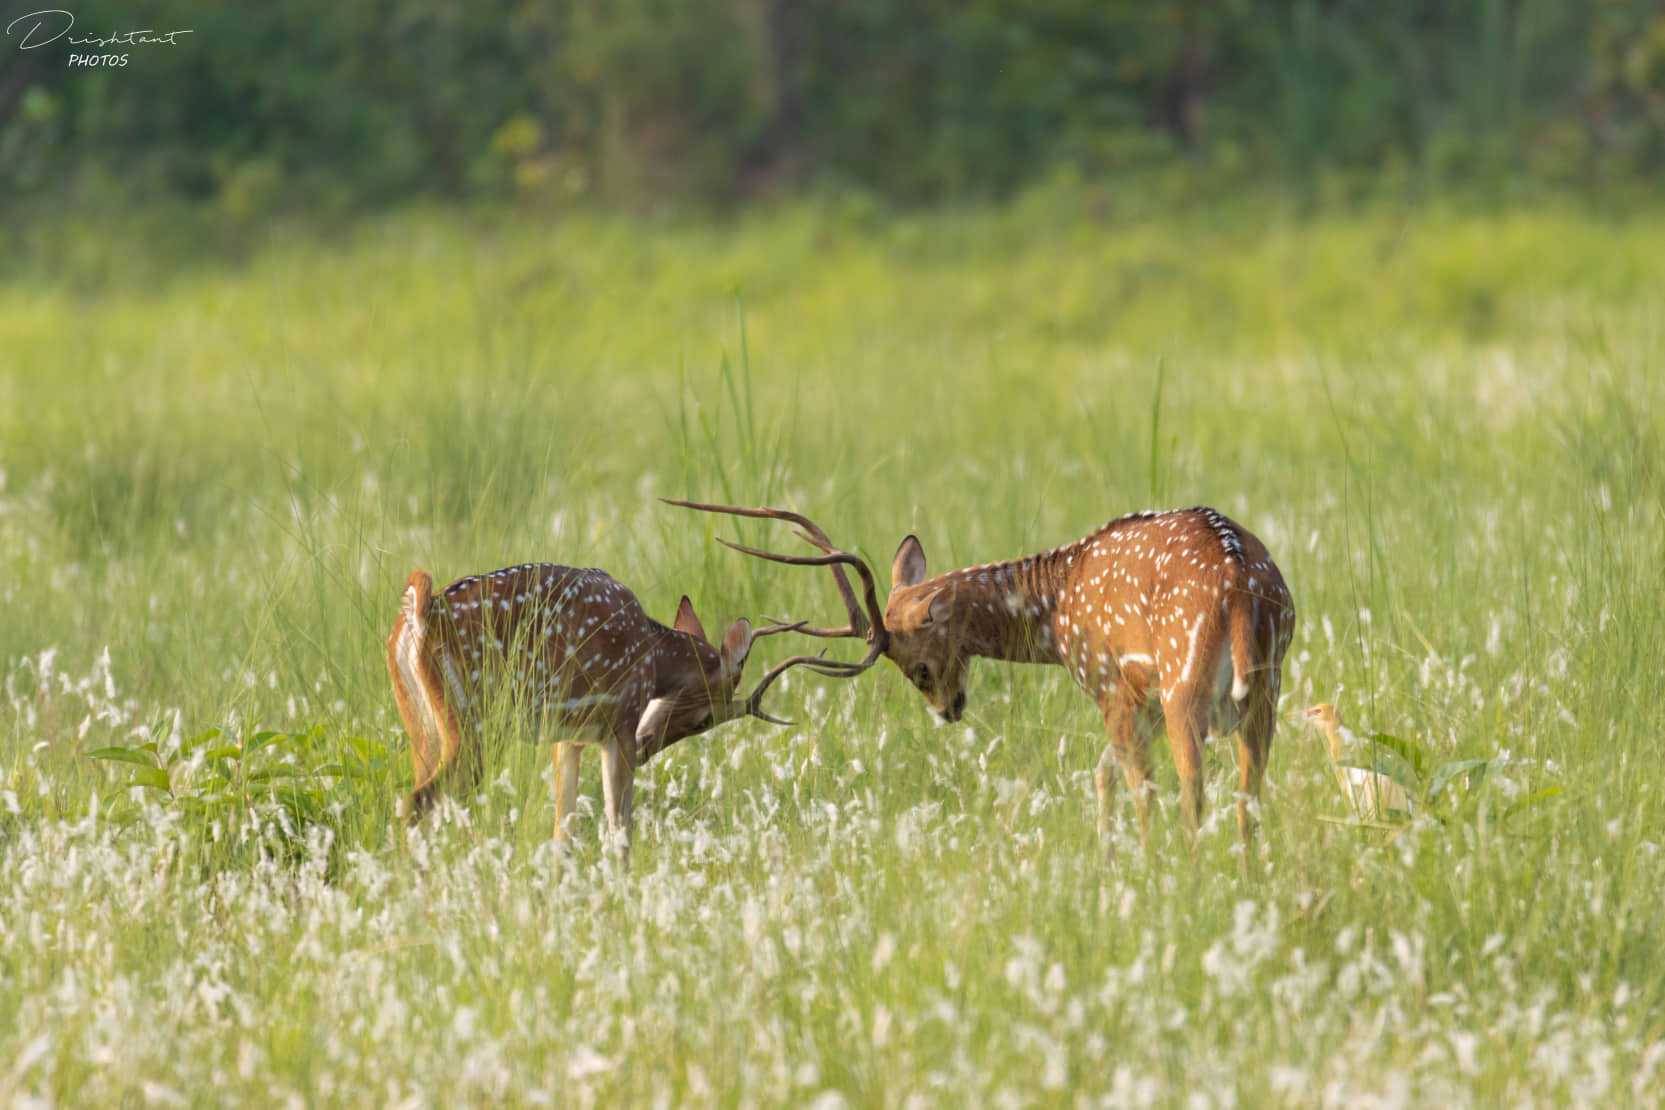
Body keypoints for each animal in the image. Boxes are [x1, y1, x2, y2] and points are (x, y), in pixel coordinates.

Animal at [389, 565, 805, 858]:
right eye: (705, 720)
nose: (646, 746)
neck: (655, 656)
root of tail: (421, 614)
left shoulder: (569, 736)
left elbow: (563, 830)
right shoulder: (621, 720)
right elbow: (620, 829)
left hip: (422, 725)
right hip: (475, 723)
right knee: (418, 802)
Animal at [669, 499, 1292, 845]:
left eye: (917, 668)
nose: (948, 709)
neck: (1059, 608)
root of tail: (1241, 584)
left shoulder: (1109, 684)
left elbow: (1137, 788)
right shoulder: (1137, 699)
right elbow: (1103, 776)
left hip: (1184, 684)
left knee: (1192, 792)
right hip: (1265, 687)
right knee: (1250, 794)